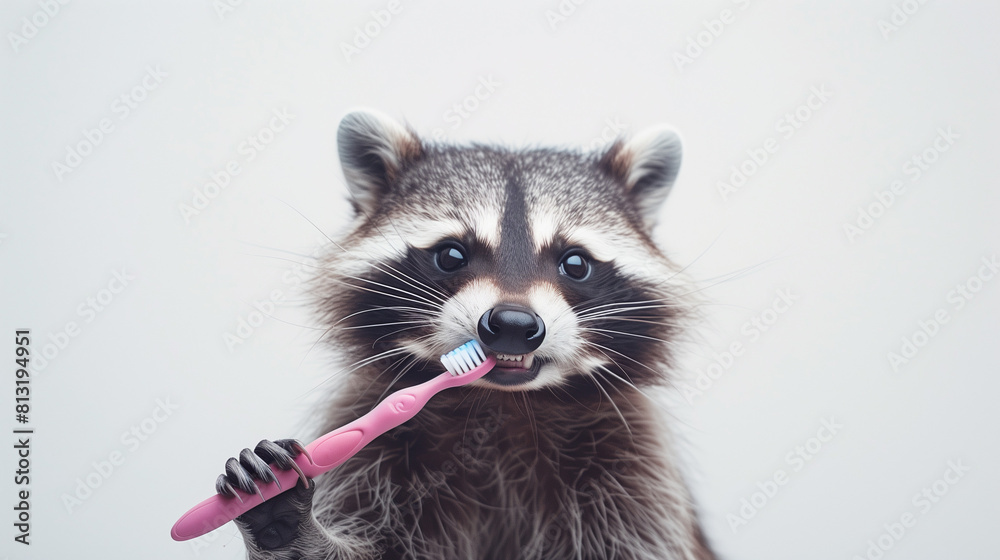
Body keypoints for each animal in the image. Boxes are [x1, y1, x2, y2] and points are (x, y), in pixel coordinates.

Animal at [213, 109, 716, 560]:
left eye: (575, 263)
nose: (513, 325)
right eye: (452, 255)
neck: (501, 405)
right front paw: (283, 524)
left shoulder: (633, 469)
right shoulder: (370, 448)